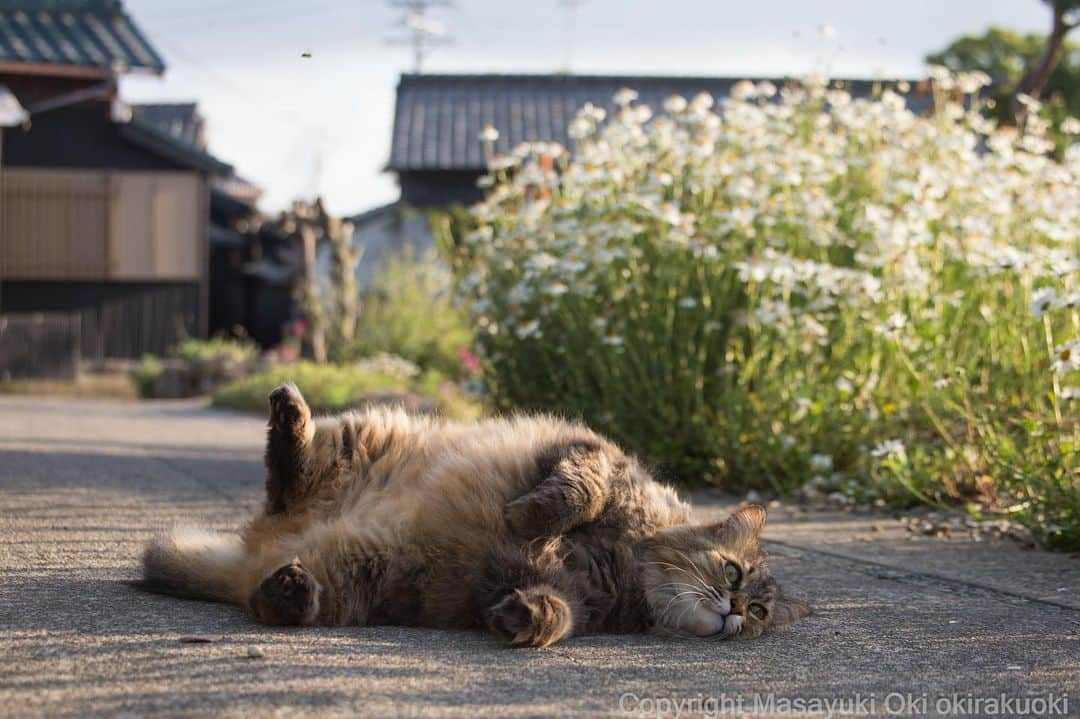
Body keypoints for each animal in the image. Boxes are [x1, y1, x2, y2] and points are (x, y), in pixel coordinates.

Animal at [139, 384, 807, 647]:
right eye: (732, 573)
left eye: (759, 614)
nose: (735, 610)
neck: (622, 563)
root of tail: (259, 547)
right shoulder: (591, 454)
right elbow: (573, 496)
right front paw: (527, 518)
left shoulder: (556, 592)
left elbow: (557, 614)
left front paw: (525, 618)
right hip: (359, 440)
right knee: (287, 473)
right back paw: (288, 413)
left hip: (364, 575)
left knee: (269, 600)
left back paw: (288, 589)